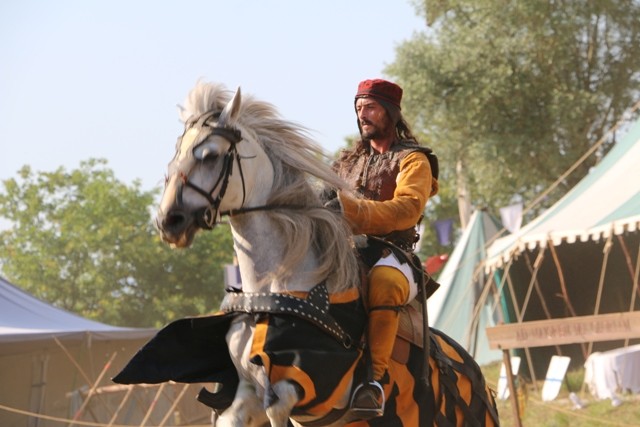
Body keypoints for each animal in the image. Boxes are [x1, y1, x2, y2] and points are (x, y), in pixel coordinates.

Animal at [114, 81, 499, 427]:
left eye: (209, 154)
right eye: (176, 152)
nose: (169, 220)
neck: (277, 285)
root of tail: (478, 377)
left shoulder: (305, 386)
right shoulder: (248, 391)